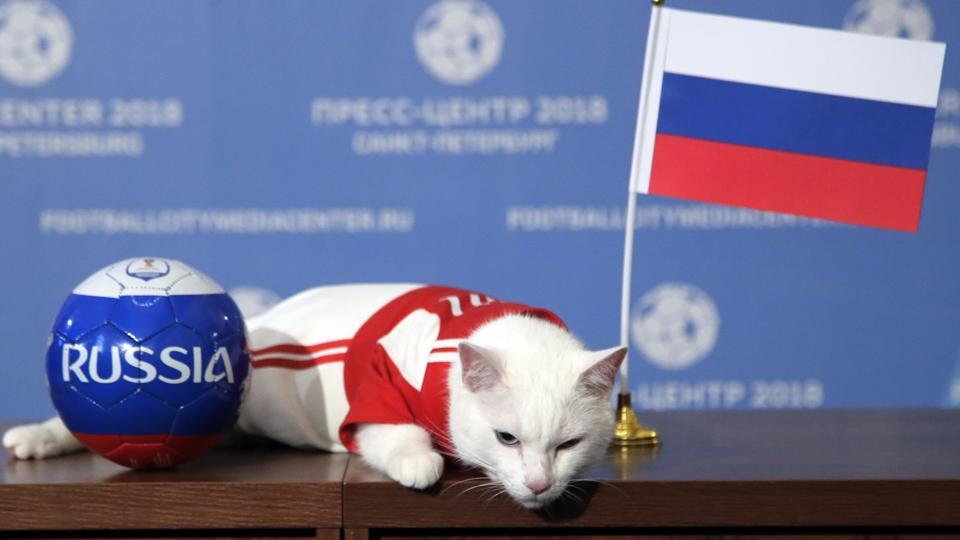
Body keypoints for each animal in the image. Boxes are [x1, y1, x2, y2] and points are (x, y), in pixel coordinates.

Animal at [5, 284, 624, 508]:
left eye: (568, 446)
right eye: (506, 438)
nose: (540, 485)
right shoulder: (374, 395)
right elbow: (401, 434)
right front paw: (422, 463)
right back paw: (33, 438)